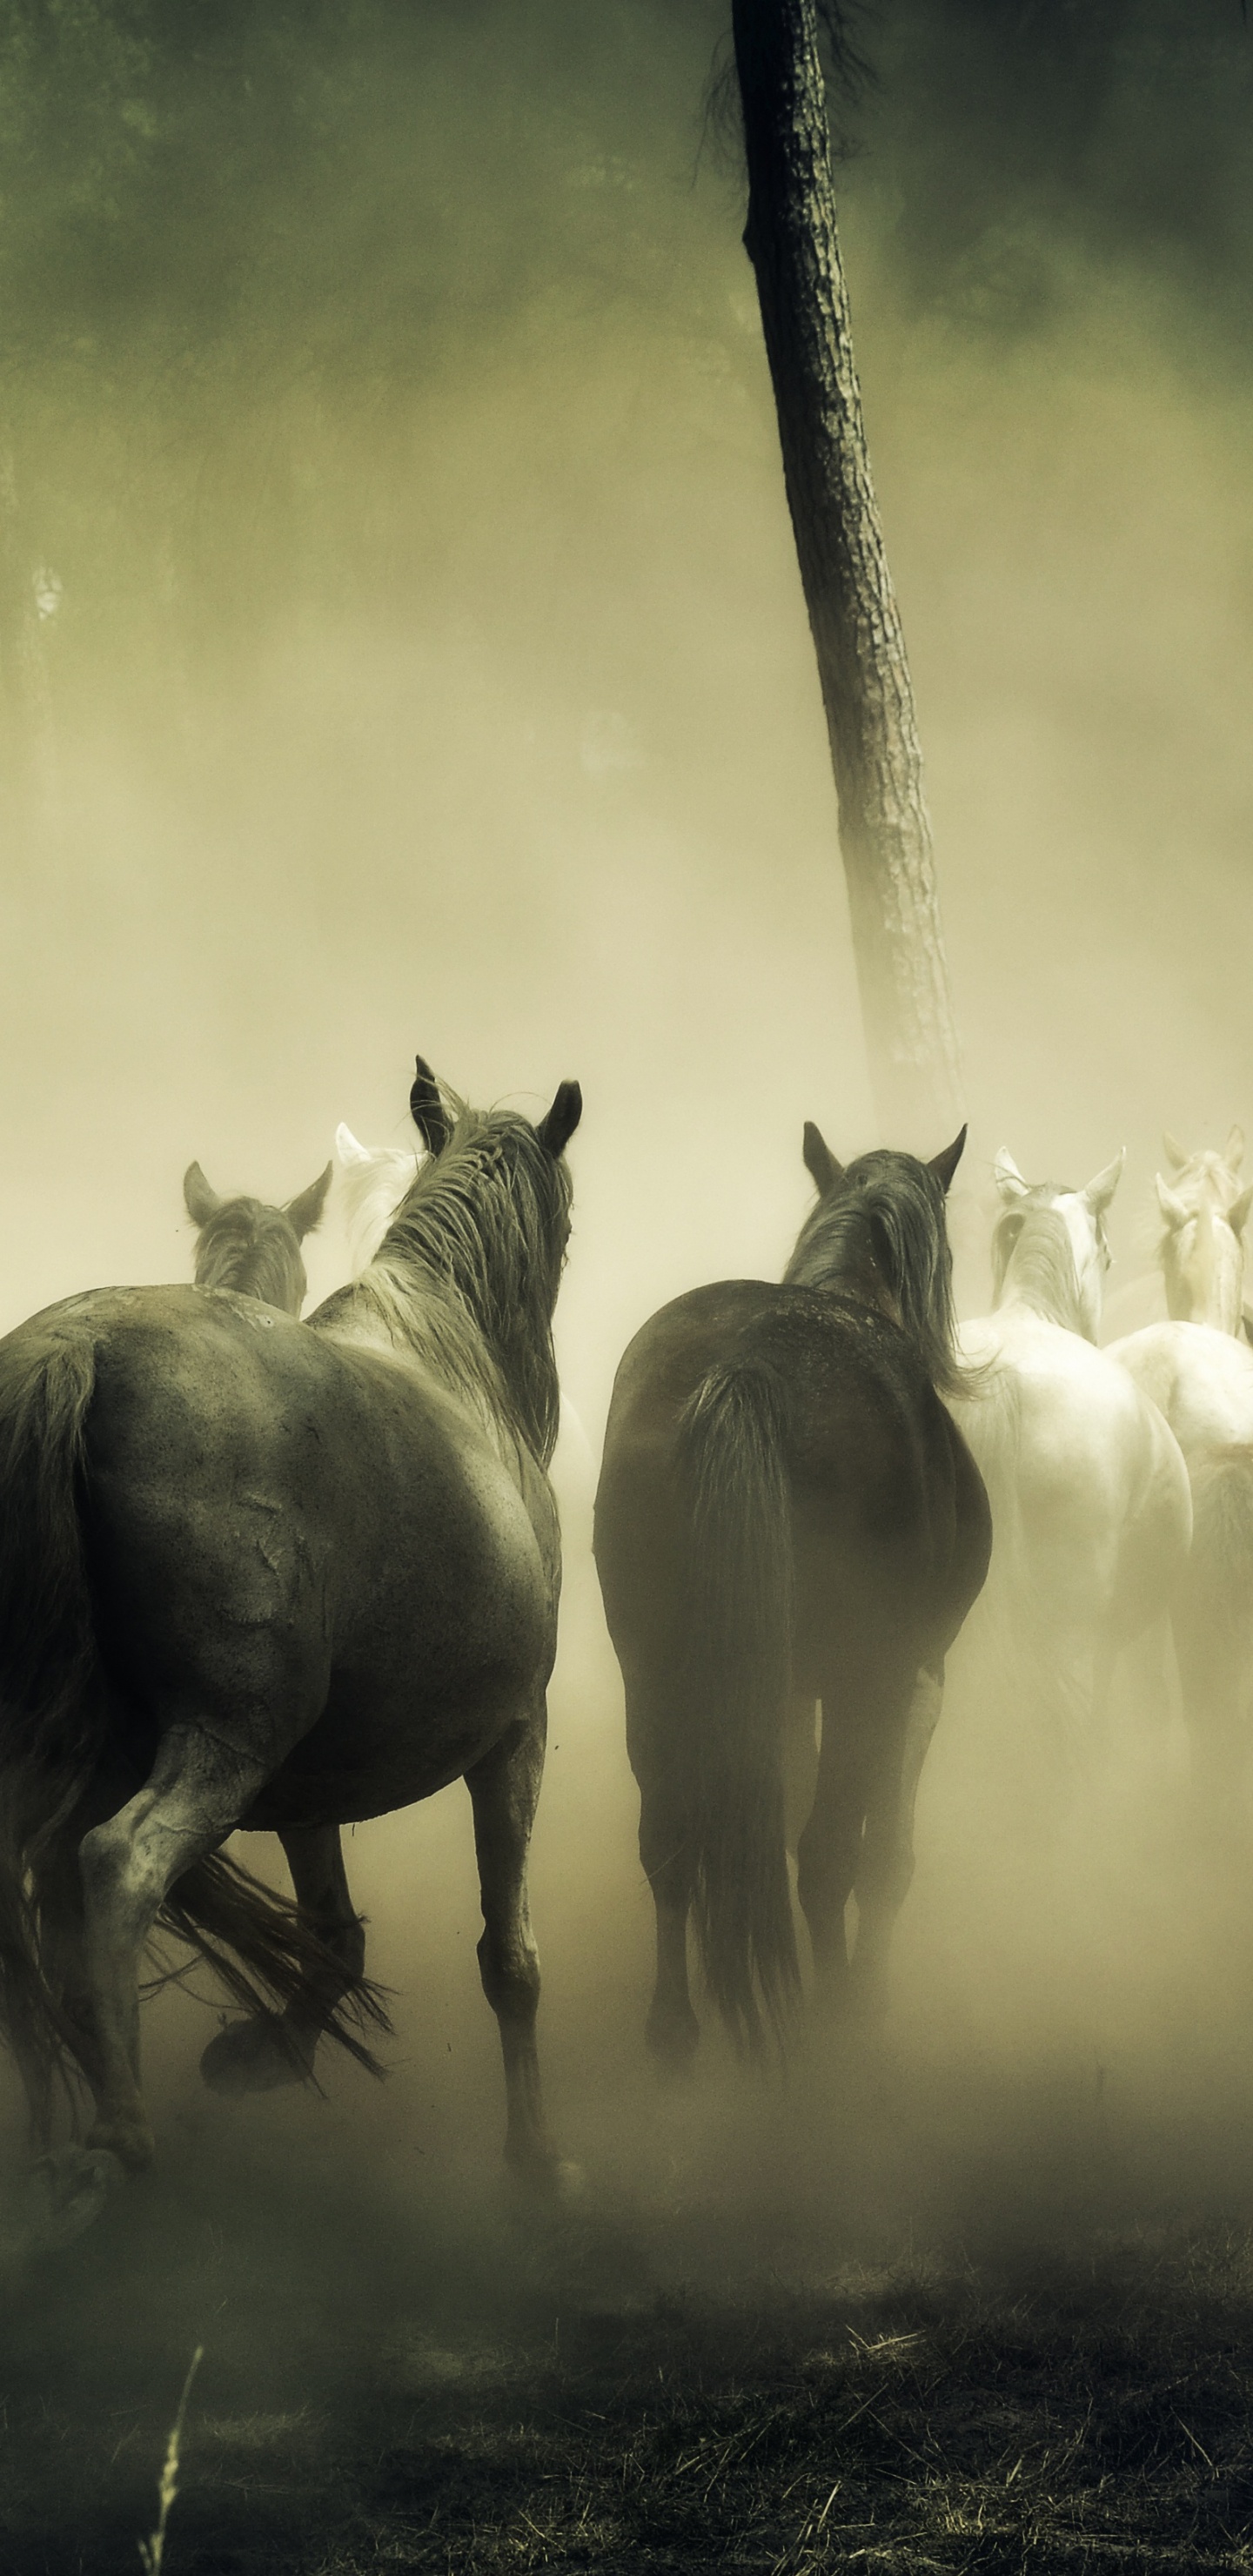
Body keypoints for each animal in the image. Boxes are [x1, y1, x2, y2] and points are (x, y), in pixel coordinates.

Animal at [0, 1053, 582, 2196]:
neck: (456, 1361)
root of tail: (77, 1348)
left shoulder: (313, 1782)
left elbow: (334, 1938)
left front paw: (259, 2051)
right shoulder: (514, 1737)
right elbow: (512, 1960)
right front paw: (536, 2162)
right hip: (228, 1740)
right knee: (115, 1864)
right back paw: (118, 2131)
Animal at [593, 1121, 991, 2066]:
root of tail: (749, 1366)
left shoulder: (776, 1688)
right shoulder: (915, 1675)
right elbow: (883, 1856)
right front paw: (870, 1993)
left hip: (653, 1666)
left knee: (670, 1838)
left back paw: (675, 2028)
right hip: (859, 1677)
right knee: (827, 1857)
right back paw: (834, 2025)